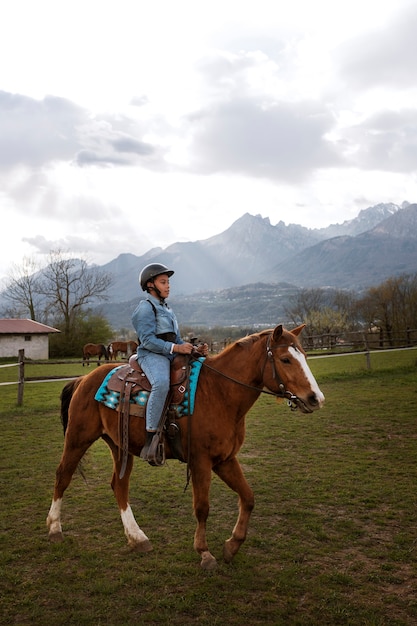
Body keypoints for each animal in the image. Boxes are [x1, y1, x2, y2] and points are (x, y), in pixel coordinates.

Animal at [47, 324, 324, 568]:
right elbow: (202, 507)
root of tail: (83, 379)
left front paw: (232, 545)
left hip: (120, 445)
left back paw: (137, 537)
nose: (316, 398)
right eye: (285, 359)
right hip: (78, 438)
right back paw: (54, 529)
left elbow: (248, 498)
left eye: (304, 355)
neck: (220, 393)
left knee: (119, 485)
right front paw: (205, 553)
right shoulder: (200, 461)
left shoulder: (225, 460)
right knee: (63, 476)